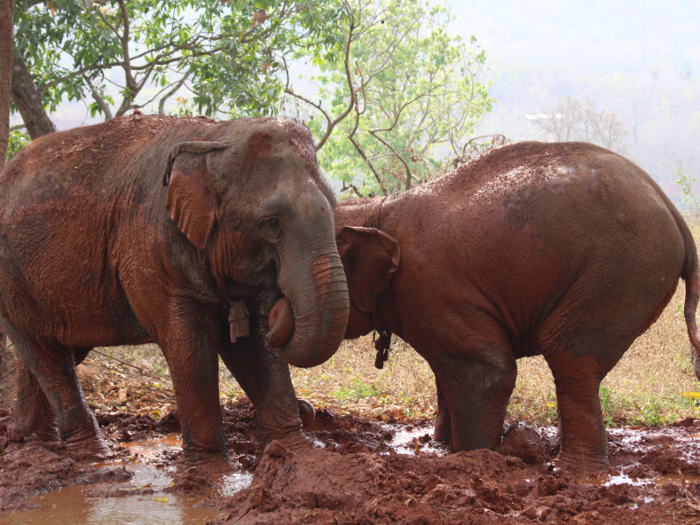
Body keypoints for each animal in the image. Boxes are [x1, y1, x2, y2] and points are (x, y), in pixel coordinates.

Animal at [0, 111, 350, 466]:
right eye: (272, 224)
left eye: (335, 205)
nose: (280, 302)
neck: (214, 135)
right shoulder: (148, 246)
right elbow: (189, 344)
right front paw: (210, 469)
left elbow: (251, 345)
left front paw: (294, 450)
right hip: (10, 279)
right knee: (47, 354)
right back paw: (92, 454)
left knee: (54, 351)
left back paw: (30, 442)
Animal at [334, 140, 700, 470]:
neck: (376, 210)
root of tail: (675, 215)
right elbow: (446, 370)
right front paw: (439, 448)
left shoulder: (429, 286)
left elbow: (486, 369)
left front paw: (472, 459)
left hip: (623, 269)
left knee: (568, 355)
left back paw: (574, 471)